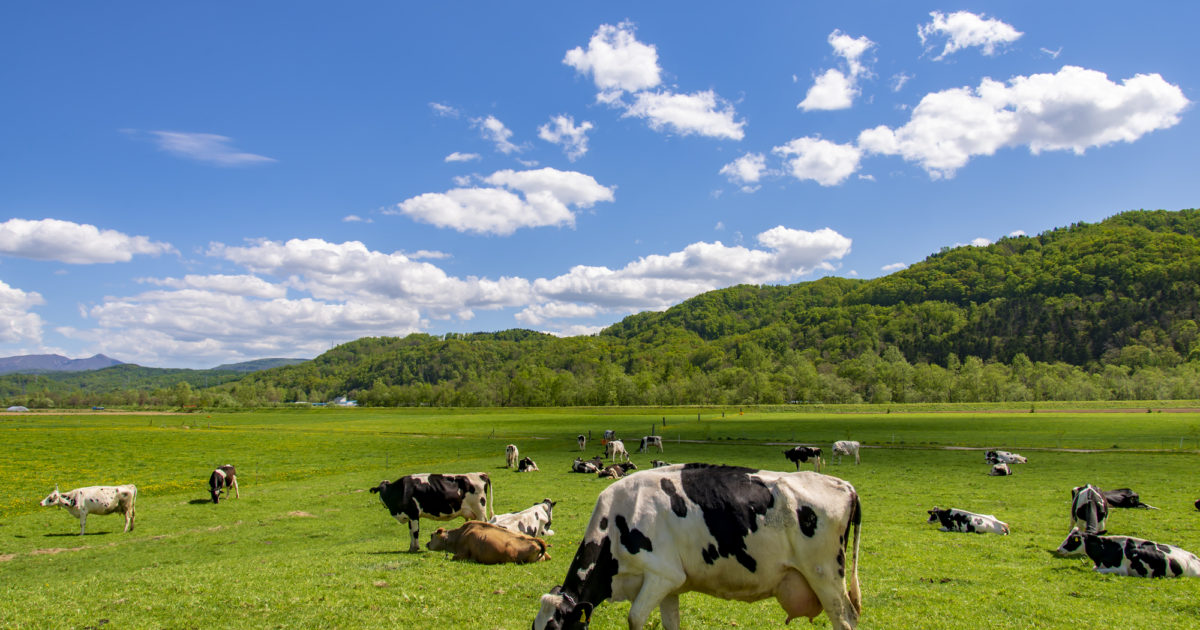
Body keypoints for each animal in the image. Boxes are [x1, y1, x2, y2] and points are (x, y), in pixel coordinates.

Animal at [530, 460, 859, 628]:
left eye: (555, 629)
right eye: (535, 627)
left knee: (845, 619)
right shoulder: (669, 584)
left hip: (825, 575)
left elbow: (634, 618)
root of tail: (843, 484)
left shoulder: (660, 574)